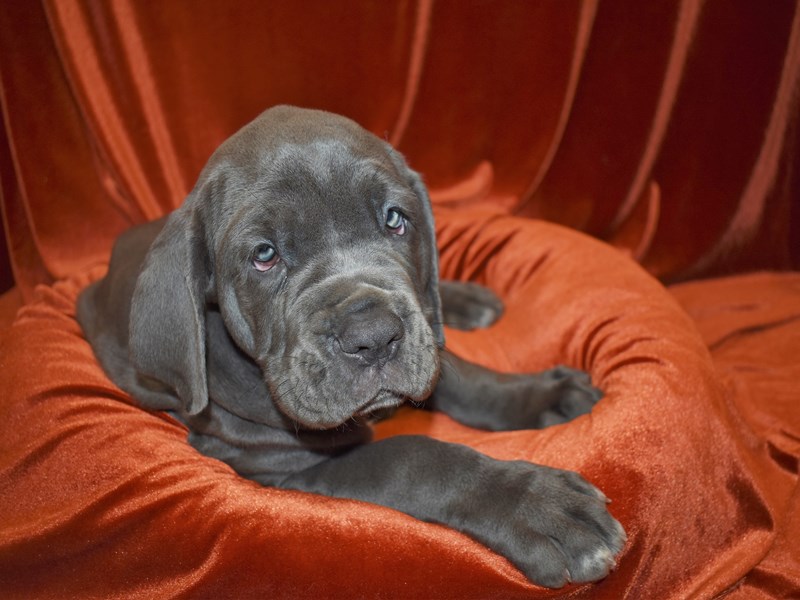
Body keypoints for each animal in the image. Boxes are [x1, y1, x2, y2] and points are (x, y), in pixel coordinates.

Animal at [76, 105, 624, 588]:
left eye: (395, 220)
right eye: (264, 255)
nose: (373, 337)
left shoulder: (422, 337)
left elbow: (460, 374)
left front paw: (544, 396)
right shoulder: (286, 463)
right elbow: (411, 456)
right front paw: (537, 505)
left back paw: (467, 300)